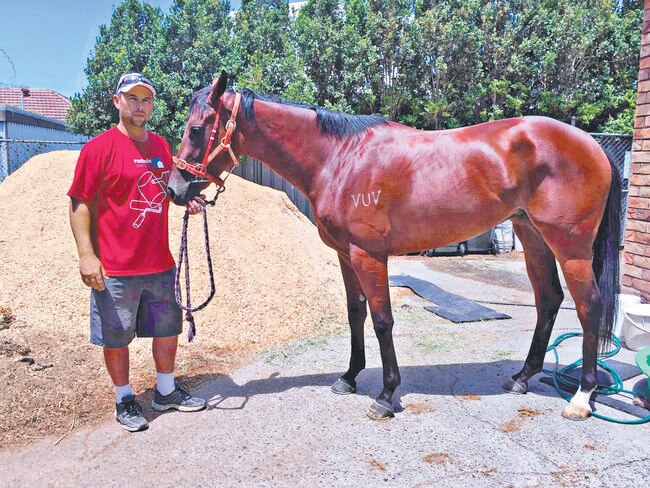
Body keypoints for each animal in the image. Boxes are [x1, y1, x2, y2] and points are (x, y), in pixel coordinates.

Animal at [167, 70, 616, 422]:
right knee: (548, 299)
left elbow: (382, 320)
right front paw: (349, 377)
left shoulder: (369, 255)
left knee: (588, 305)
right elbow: (355, 313)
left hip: (570, 247)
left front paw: (385, 395)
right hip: (532, 235)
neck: (340, 158)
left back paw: (582, 397)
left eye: (195, 130)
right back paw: (522, 378)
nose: (174, 190)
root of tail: (592, 144)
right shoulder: (345, 254)